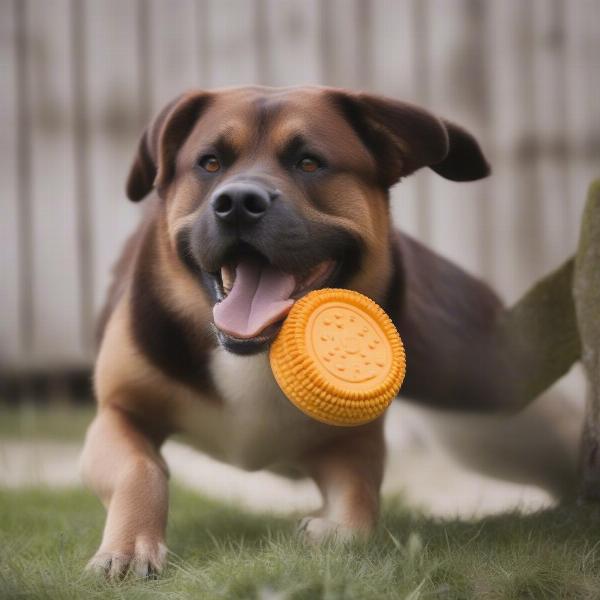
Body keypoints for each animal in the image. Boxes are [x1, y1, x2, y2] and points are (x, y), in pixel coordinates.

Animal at [82, 84, 510, 576]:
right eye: (210, 163)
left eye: (309, 163)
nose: (237, 203)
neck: (253, 352)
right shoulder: (117, 411)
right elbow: (140, 469)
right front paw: (128, 547)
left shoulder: (354, 441)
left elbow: (361, 499)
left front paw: (334, 530)